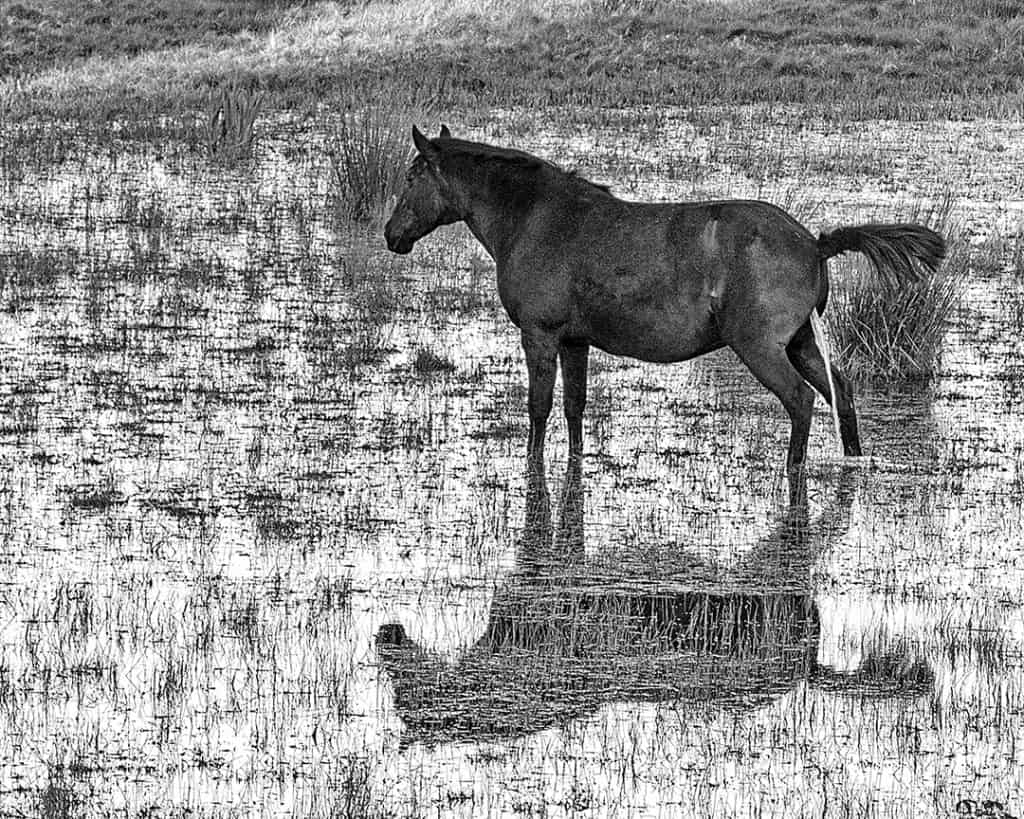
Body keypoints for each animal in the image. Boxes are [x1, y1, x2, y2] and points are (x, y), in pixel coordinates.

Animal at [385, 127, 942, 472]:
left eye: (412, 177)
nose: (392, 235)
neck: (534, 219)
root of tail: (814, 242)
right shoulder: (574, 341)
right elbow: (574, 409)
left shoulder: (539, 335)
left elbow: (539, 408)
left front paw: (531, 465)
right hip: (802, 341)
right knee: (840, 395)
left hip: (761, 347)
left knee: (801, 402)